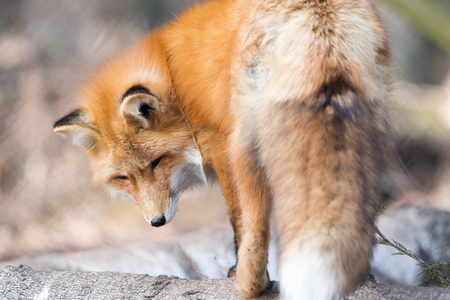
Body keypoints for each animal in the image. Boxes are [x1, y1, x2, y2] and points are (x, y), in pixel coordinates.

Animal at [52, 1, 392, 298]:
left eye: (157, 162)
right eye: (123, 178)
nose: (156, 222)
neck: (175, 82)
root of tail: (315, 10)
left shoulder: (219, 145)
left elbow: (236, 220)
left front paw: (236, 269)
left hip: (246, 145)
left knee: (257, 221)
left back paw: (251, 283)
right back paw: (362, 274)